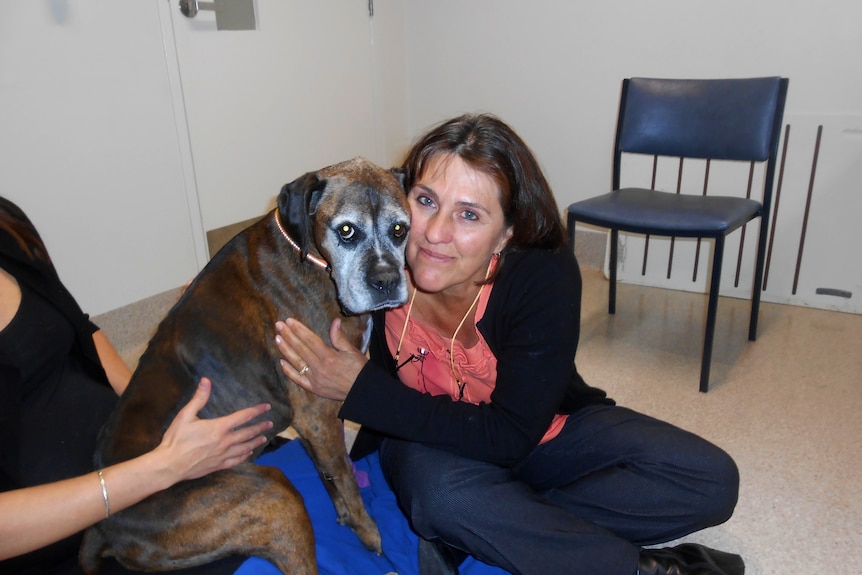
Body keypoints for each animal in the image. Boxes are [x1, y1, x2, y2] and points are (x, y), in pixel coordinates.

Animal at [78, 158, 412, 575]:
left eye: (400, 229)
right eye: (347, 230)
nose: (386, 280)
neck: (308, 253)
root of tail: (103, 527)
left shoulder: (311, 423)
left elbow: (330, 473)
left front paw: (345, 517)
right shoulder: (319, 411)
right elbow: (347, 478)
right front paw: (366, 531)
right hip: (276, 498)